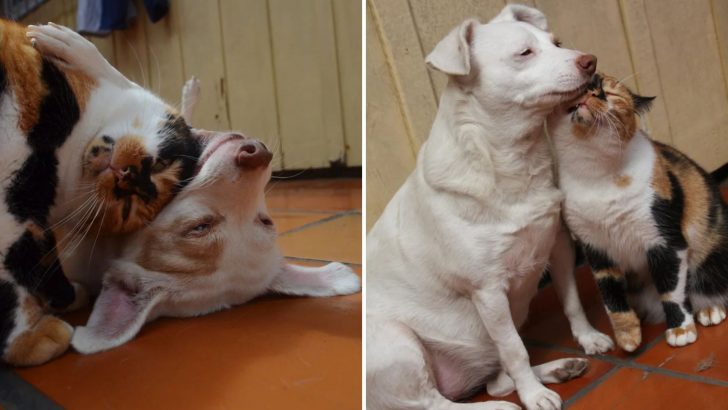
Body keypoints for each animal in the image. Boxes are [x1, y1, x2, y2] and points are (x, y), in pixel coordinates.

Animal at [1, 20, 200, 366]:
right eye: (160, 164)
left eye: (127, 206)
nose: (128, 177)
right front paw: (30, 339)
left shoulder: (29, 212)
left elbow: (40, 257)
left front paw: (62, 300)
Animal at [366, 4, 612, 410]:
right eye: (524, 53)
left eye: (557, 43)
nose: (590, 60)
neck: (512, 161)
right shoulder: (488, 291)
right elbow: (514, 349)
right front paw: (534, 396)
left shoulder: (559, 246)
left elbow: (572, 301)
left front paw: (588, 338)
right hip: (398, 342)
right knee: (437, 402)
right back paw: (507, 403)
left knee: (497, 380)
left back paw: (557, 369)